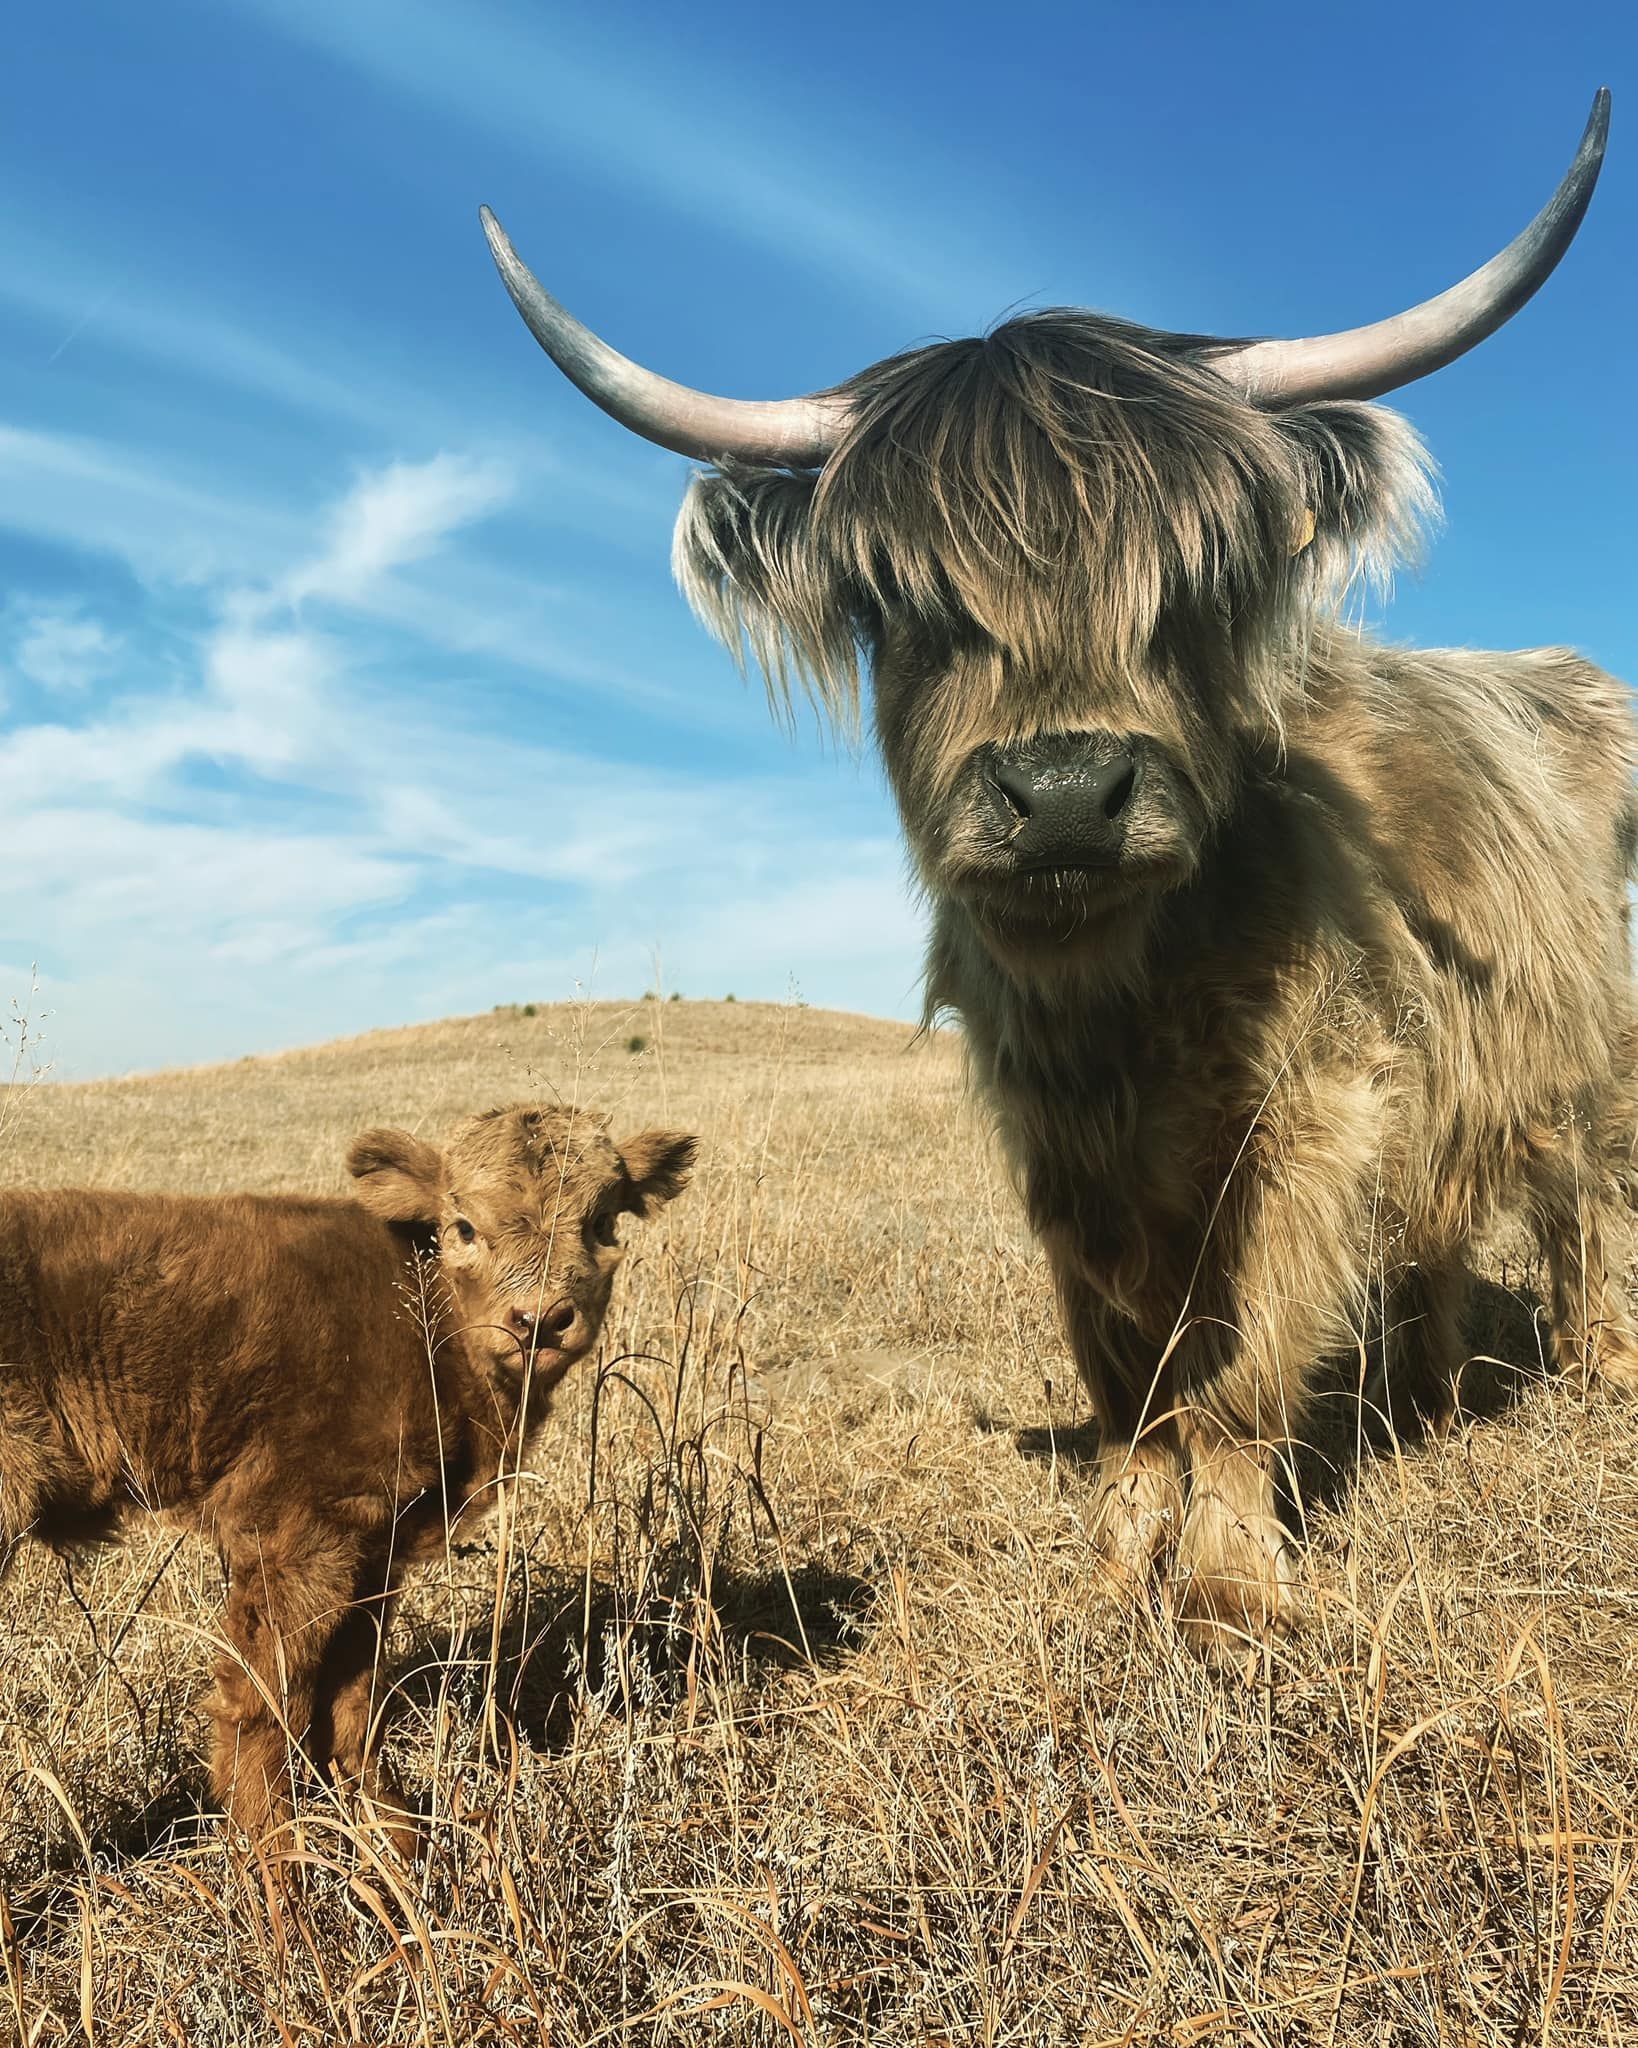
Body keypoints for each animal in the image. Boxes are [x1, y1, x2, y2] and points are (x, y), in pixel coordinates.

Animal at [0, 1104, 695, 1845]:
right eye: (463, 1226)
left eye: (604, 1222)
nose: (540, 1320)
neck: (426, 1312)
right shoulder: (297, 1528)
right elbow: (267, 1700)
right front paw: (280, 1861)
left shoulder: (376, 1544)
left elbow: (352, 1699)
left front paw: (396, 1837)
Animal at [478, 91, 1637, 1655]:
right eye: (905, 602)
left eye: (1192, 583)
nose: (1070, 792)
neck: (1120, 1002)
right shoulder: (1056, 1148)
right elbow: (1125, 1374)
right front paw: (1114, 1557)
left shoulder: (1317, 1104)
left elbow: (1239, 1367)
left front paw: (1226, 1588)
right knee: (1443, 1237)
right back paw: (1426, 1396)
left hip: (1591, 1058)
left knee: (1587, 1207)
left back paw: (1593, 1372)